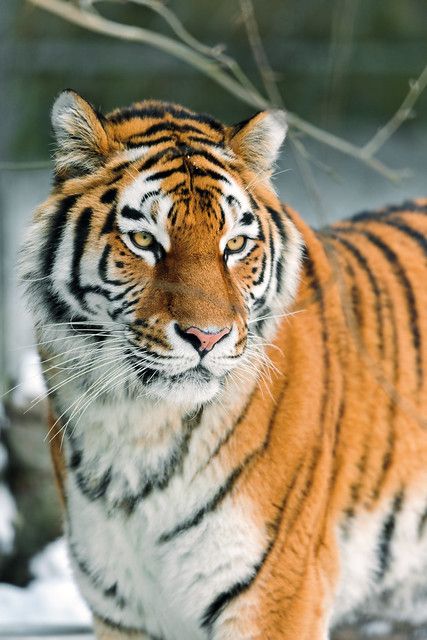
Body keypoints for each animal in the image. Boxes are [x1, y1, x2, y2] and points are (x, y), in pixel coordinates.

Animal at [20, 91, 427, 640]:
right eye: (144, 241)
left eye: (234, 244)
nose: (207, 337)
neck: (135, 425)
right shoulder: (122, 610)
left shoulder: (275, 592)